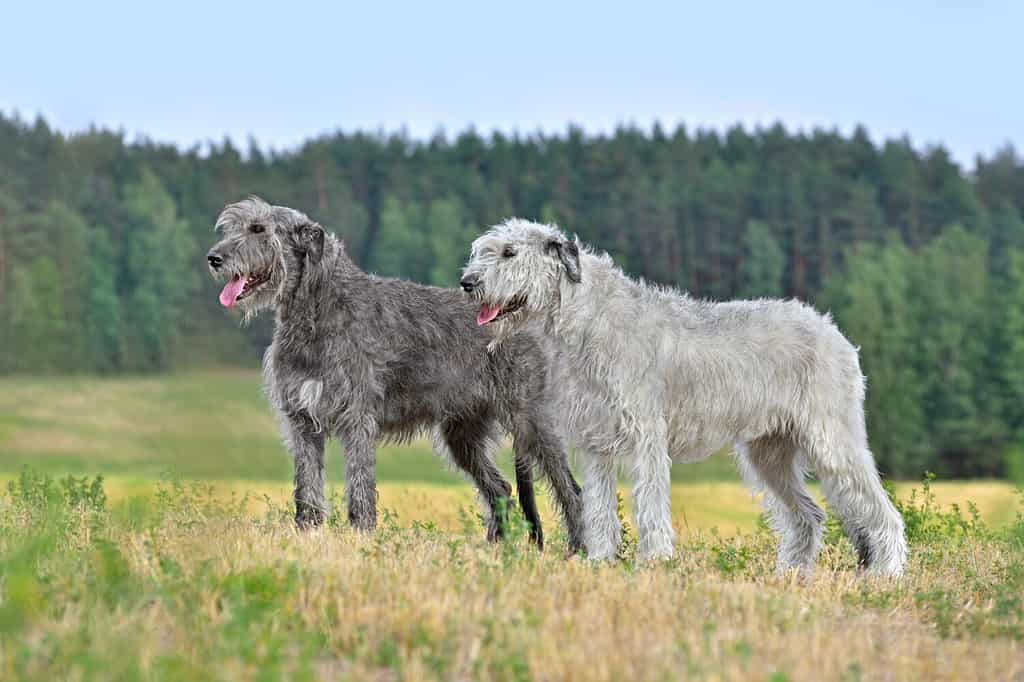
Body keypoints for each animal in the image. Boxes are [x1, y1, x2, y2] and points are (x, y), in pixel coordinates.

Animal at [205, 195, 585, 548]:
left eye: (259, 229)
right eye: (235, 227)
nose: (214, 258)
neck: (318, 308)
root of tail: (523, 314)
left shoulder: (356, 418)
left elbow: (360, 485)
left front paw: (360, 537)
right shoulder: (302, 420)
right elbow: (307, 486)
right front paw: (307, 535)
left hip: (531, 420)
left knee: (570, 489)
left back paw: (578, 550)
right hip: (463, 432)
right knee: (501, 488)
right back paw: (495, 549)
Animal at [460, 218, 909, 573]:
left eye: (509, 252)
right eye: (482, 251)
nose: (467, 283)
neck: (588, 319)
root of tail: (834, 332)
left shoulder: (645, 436)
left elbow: (650, 502)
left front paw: (654, 561)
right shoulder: (597, 440)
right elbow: (599, 507)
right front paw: (601, 561)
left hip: (833, 440)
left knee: (882, 511)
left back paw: (886, 575)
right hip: (769, 452)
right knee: (809, 516)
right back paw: (791, 576)